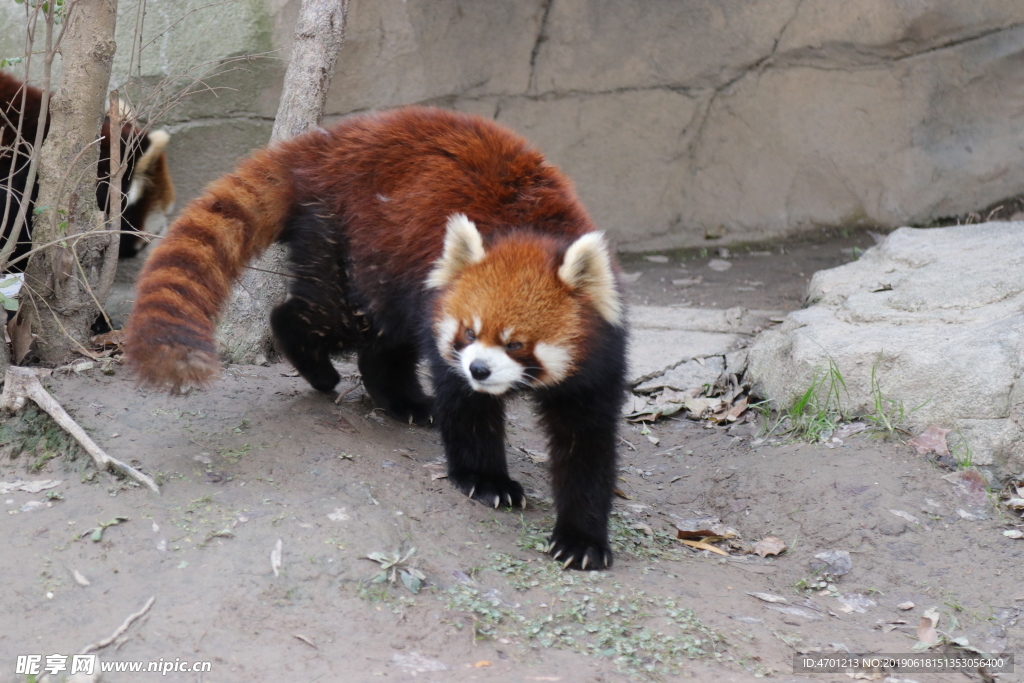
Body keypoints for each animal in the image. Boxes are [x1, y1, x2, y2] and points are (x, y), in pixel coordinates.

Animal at [123, 107, 626, 569]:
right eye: (469, 332)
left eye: (516, 343)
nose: (479, 369)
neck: (529, 232)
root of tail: (331, 140)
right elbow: (467, 410)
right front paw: (487, 481)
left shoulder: (598, 360)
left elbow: (587, 445)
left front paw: (582, 538)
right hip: (349, 238)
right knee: (321, 316)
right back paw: (318, 368)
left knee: (385, 342)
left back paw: (404, 401)